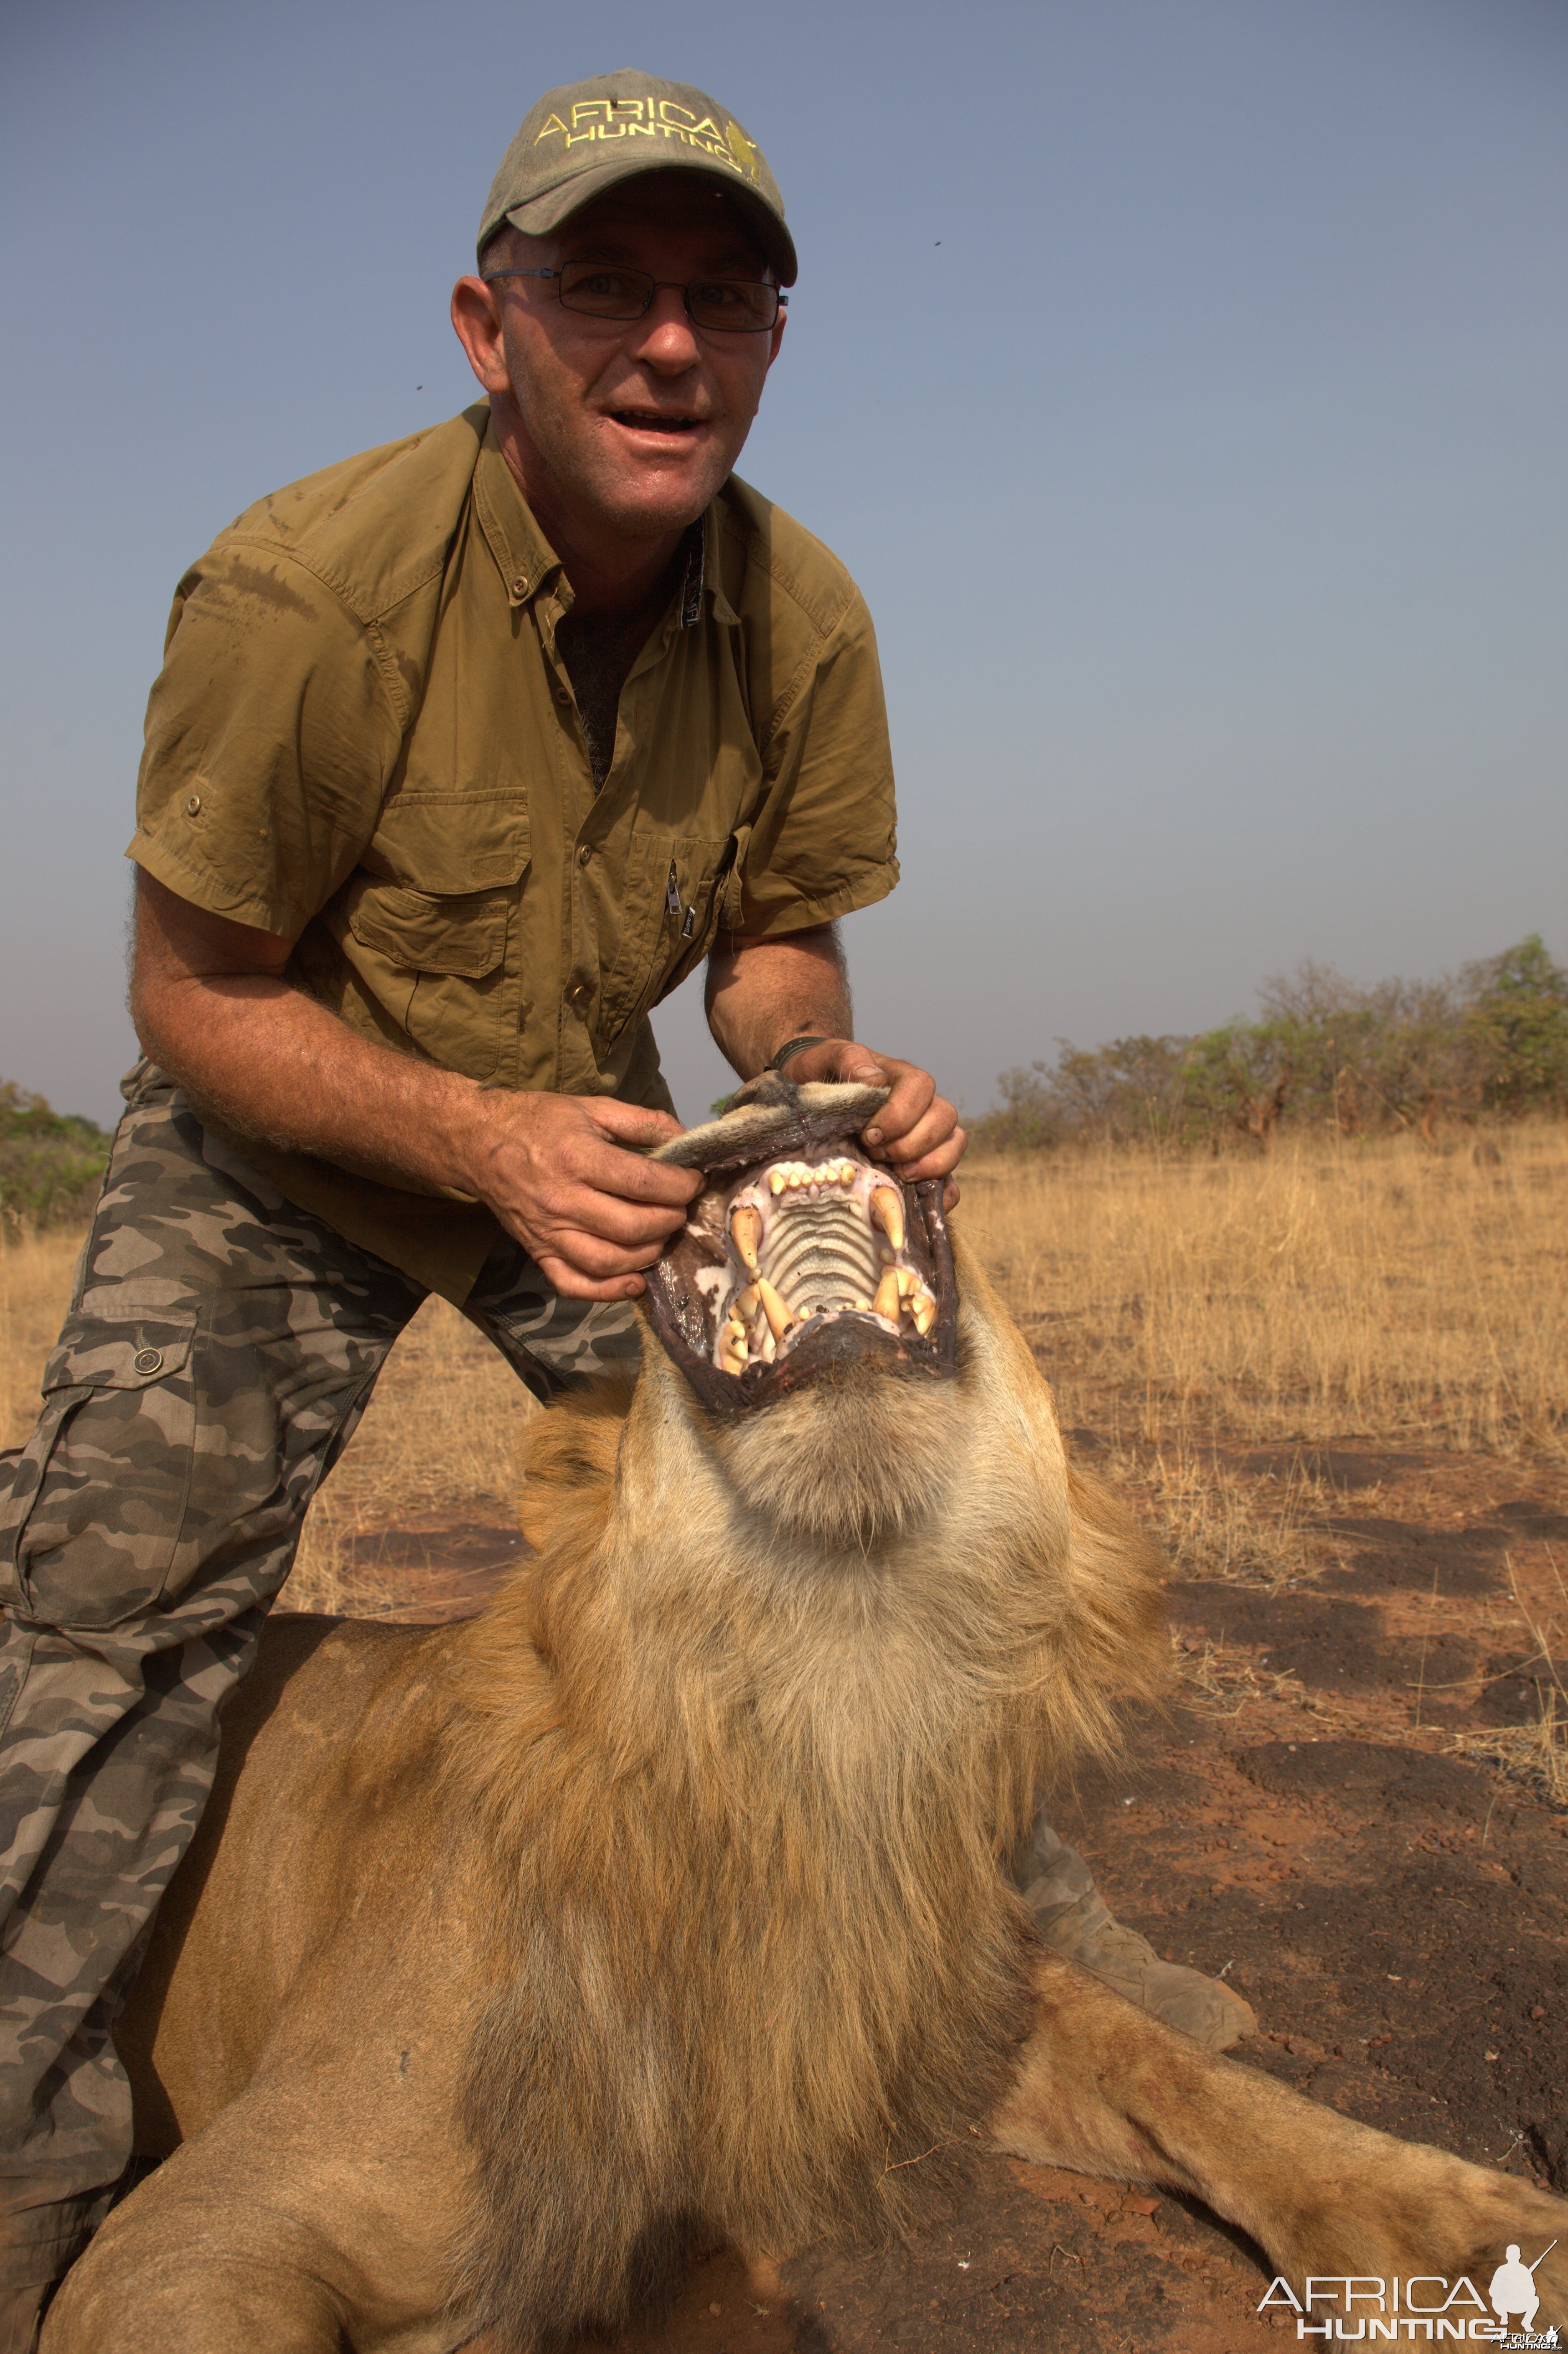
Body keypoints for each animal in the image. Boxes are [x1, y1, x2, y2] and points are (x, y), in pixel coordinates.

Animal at [46, 1083, 1563, 2354]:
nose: (777, 1076)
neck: (841, 1669)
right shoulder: (199, 2233)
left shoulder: (911, 2004)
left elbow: (1192, 2076)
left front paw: (1478, 2239)